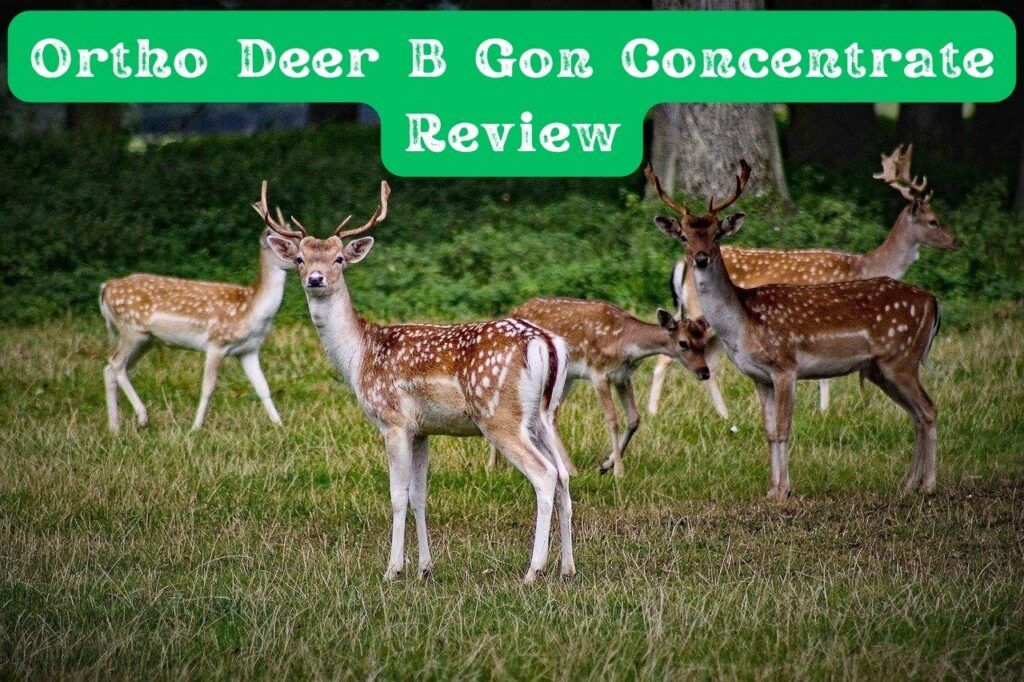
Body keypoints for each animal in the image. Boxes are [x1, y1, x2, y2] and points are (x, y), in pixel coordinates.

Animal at [99, 183, 299, 432]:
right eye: (286, 245)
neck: (250, 309)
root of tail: (105, 287)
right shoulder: (216, 343)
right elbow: (208, 388)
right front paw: (195, 428)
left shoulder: (249, 349)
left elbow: (263, 388)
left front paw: (281, 426)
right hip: (131, 329)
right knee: (115, 364)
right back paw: (142, 417)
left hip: (146, 339)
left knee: (112, 368)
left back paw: (114, 427)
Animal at [260, 180, 575, 584]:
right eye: (300, 258)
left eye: (339, 259)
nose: (316, 279)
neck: (359, 355)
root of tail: (545, 341)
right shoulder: (422, 428)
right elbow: (419, 495)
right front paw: (426, 567)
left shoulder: (393, 420)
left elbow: (397, 494)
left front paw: (392, 569)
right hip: (544, 416)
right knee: (564, 474)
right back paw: (567, 568)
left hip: (499, 415)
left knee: (545, 475)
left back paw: (533, 571)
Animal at [486, 297, 711, 477]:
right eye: (683, 343)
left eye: (704, 341)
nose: (705, 372)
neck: (625, 343)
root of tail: (511, 313)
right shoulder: (598, 374)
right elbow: (612, 419)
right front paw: (619, 471)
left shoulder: (622, 377)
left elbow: (634, 418)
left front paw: (606, 464)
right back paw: (493, 466)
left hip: (565, 378)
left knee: (549, 415)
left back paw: (567, 468)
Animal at [647, 144, 958, 418]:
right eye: (933, 220)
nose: (957, 241)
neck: (862, 266)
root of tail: (680, 265)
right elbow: (823, 377)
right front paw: (824, 412)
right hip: (696, 310)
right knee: (669, 356)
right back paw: (661, 413)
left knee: (703, 361)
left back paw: (723, 416)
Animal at [648, 160, 942, 499]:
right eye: (684, 236)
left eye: (716, 233)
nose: (700, 258)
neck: (743, 323)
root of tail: (932, 301)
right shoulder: (759, 377)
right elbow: (769, 431)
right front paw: (771, 490)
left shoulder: (785, 366)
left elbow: (784, 429)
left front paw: (784, 492)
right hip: (880, 368)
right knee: (916, 414)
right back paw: (909, 486)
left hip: (902, 357)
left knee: (928, 409)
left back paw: (929, 485)